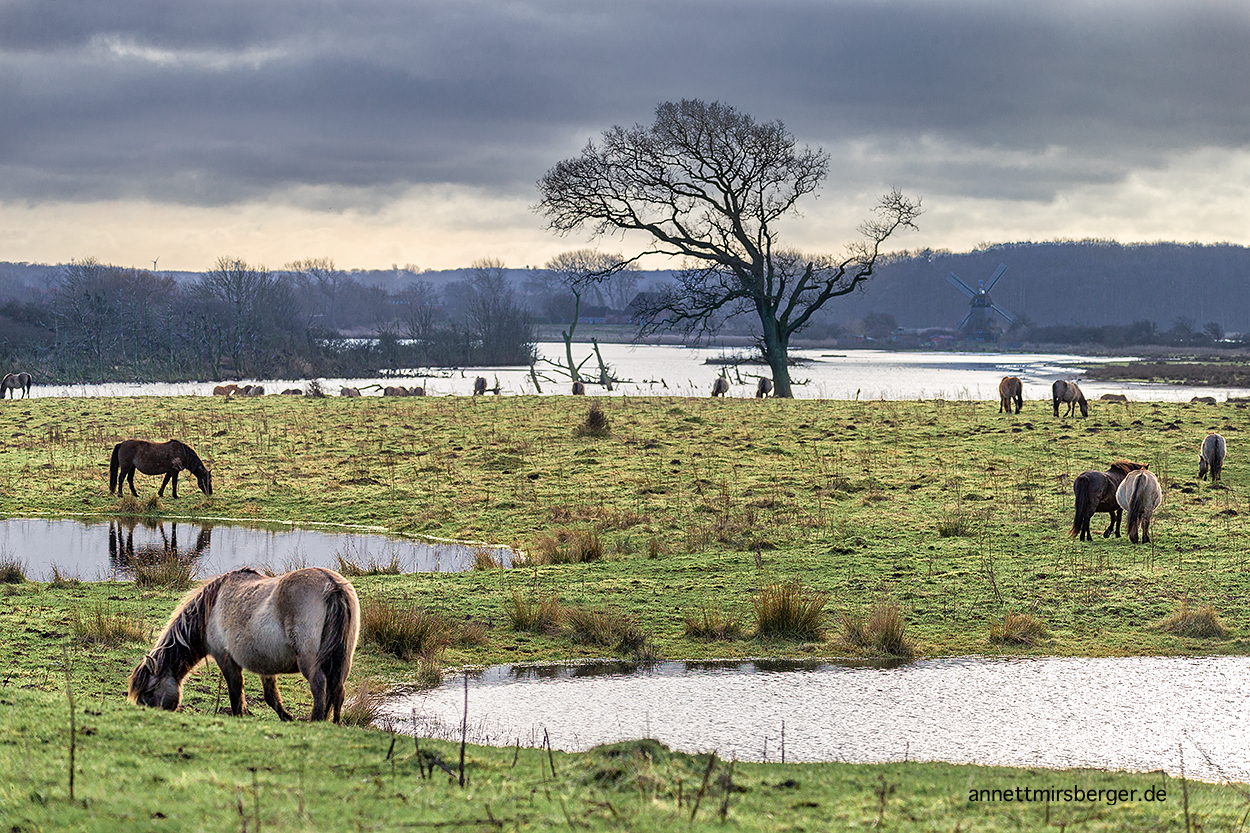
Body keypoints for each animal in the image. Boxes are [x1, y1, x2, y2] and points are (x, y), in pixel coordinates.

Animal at [127, 565, 360, 720]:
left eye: (149, 692)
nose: (147, 713)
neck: (211, 609)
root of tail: (332, 585)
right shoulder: (266, 664)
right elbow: (271, 697)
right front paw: (286, 718)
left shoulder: (226, 658)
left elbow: (236, 693)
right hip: (342, 660)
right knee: (338, 690)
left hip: (310, 662)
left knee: (320, 686)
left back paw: (315, 722)